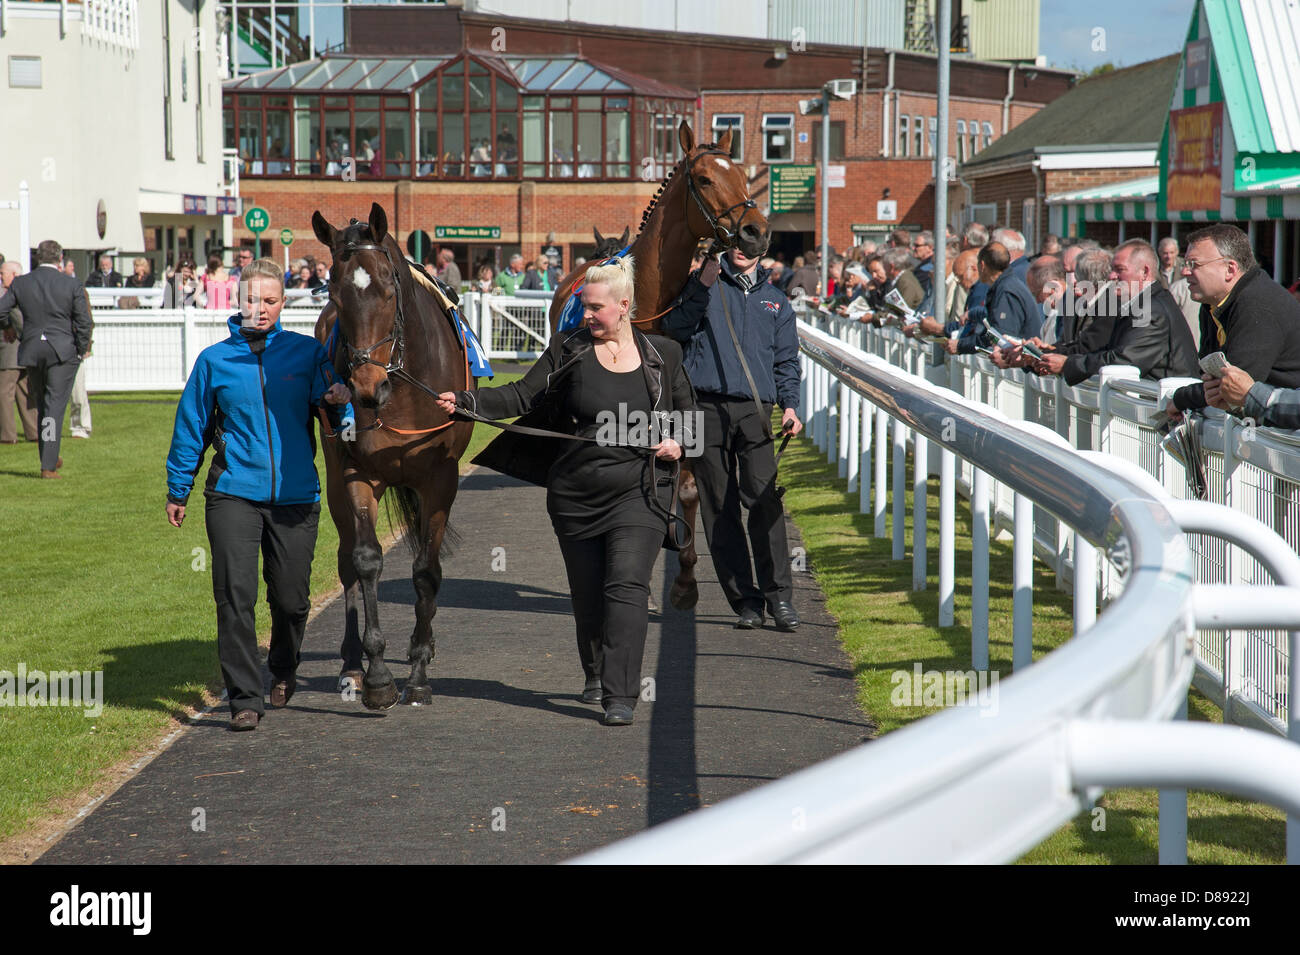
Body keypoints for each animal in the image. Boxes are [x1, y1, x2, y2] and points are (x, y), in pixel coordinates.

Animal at [314, 201, 478, 712]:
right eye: (335, 290)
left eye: (389, 288)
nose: (366, 387)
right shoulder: (355, 472)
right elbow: (365, 561)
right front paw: (378, 675)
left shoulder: (440, 479)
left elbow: (426, 571)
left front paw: (419, 671)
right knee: (346, 558)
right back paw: (351, 665)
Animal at [543, 121, 764, 613]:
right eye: (704, 179)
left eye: (743, 175)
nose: (757, 232)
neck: (646, 300)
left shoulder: (684, 405)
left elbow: (685, 488)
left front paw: (683, 582)